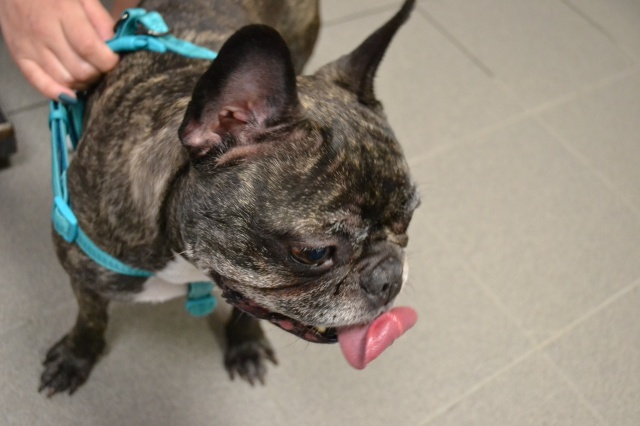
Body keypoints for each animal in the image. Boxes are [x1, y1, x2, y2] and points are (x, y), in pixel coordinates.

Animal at [39, 0, 419, 396]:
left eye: (409, 218)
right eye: (313, 253)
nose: (389, 277)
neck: (184, 258)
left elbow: (248, 310)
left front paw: (246, 345)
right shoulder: (84, 273)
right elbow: (91, 317)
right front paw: (77, 356)